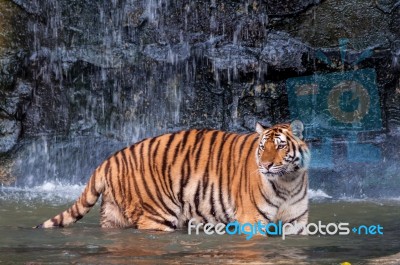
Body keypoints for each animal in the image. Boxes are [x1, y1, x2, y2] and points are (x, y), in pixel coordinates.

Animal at [37, 119, 310, 233]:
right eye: (263, 147)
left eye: (280, 146)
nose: (265, 166)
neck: (287, 182)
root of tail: (108, 160)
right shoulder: (251, 220)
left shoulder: (296, 222)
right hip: (157, 214)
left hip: (114, 215)